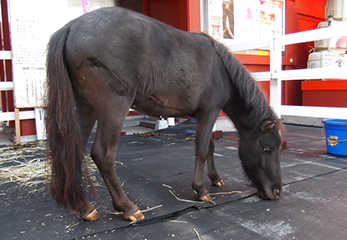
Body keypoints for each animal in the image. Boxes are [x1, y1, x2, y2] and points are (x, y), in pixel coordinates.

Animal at [46, 7, 284, 221]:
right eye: (267, 148)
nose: (277, 191)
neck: (221, 68)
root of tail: (70, 27)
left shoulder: (200, 115)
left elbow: (209, 146)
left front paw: (215, 178)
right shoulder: (209, 112)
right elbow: (202, 150)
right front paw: (200, 190)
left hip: (85, 108)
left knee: (75, 151)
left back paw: (85, 208)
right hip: (113, 108)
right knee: (102, 154)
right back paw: (127, 207)